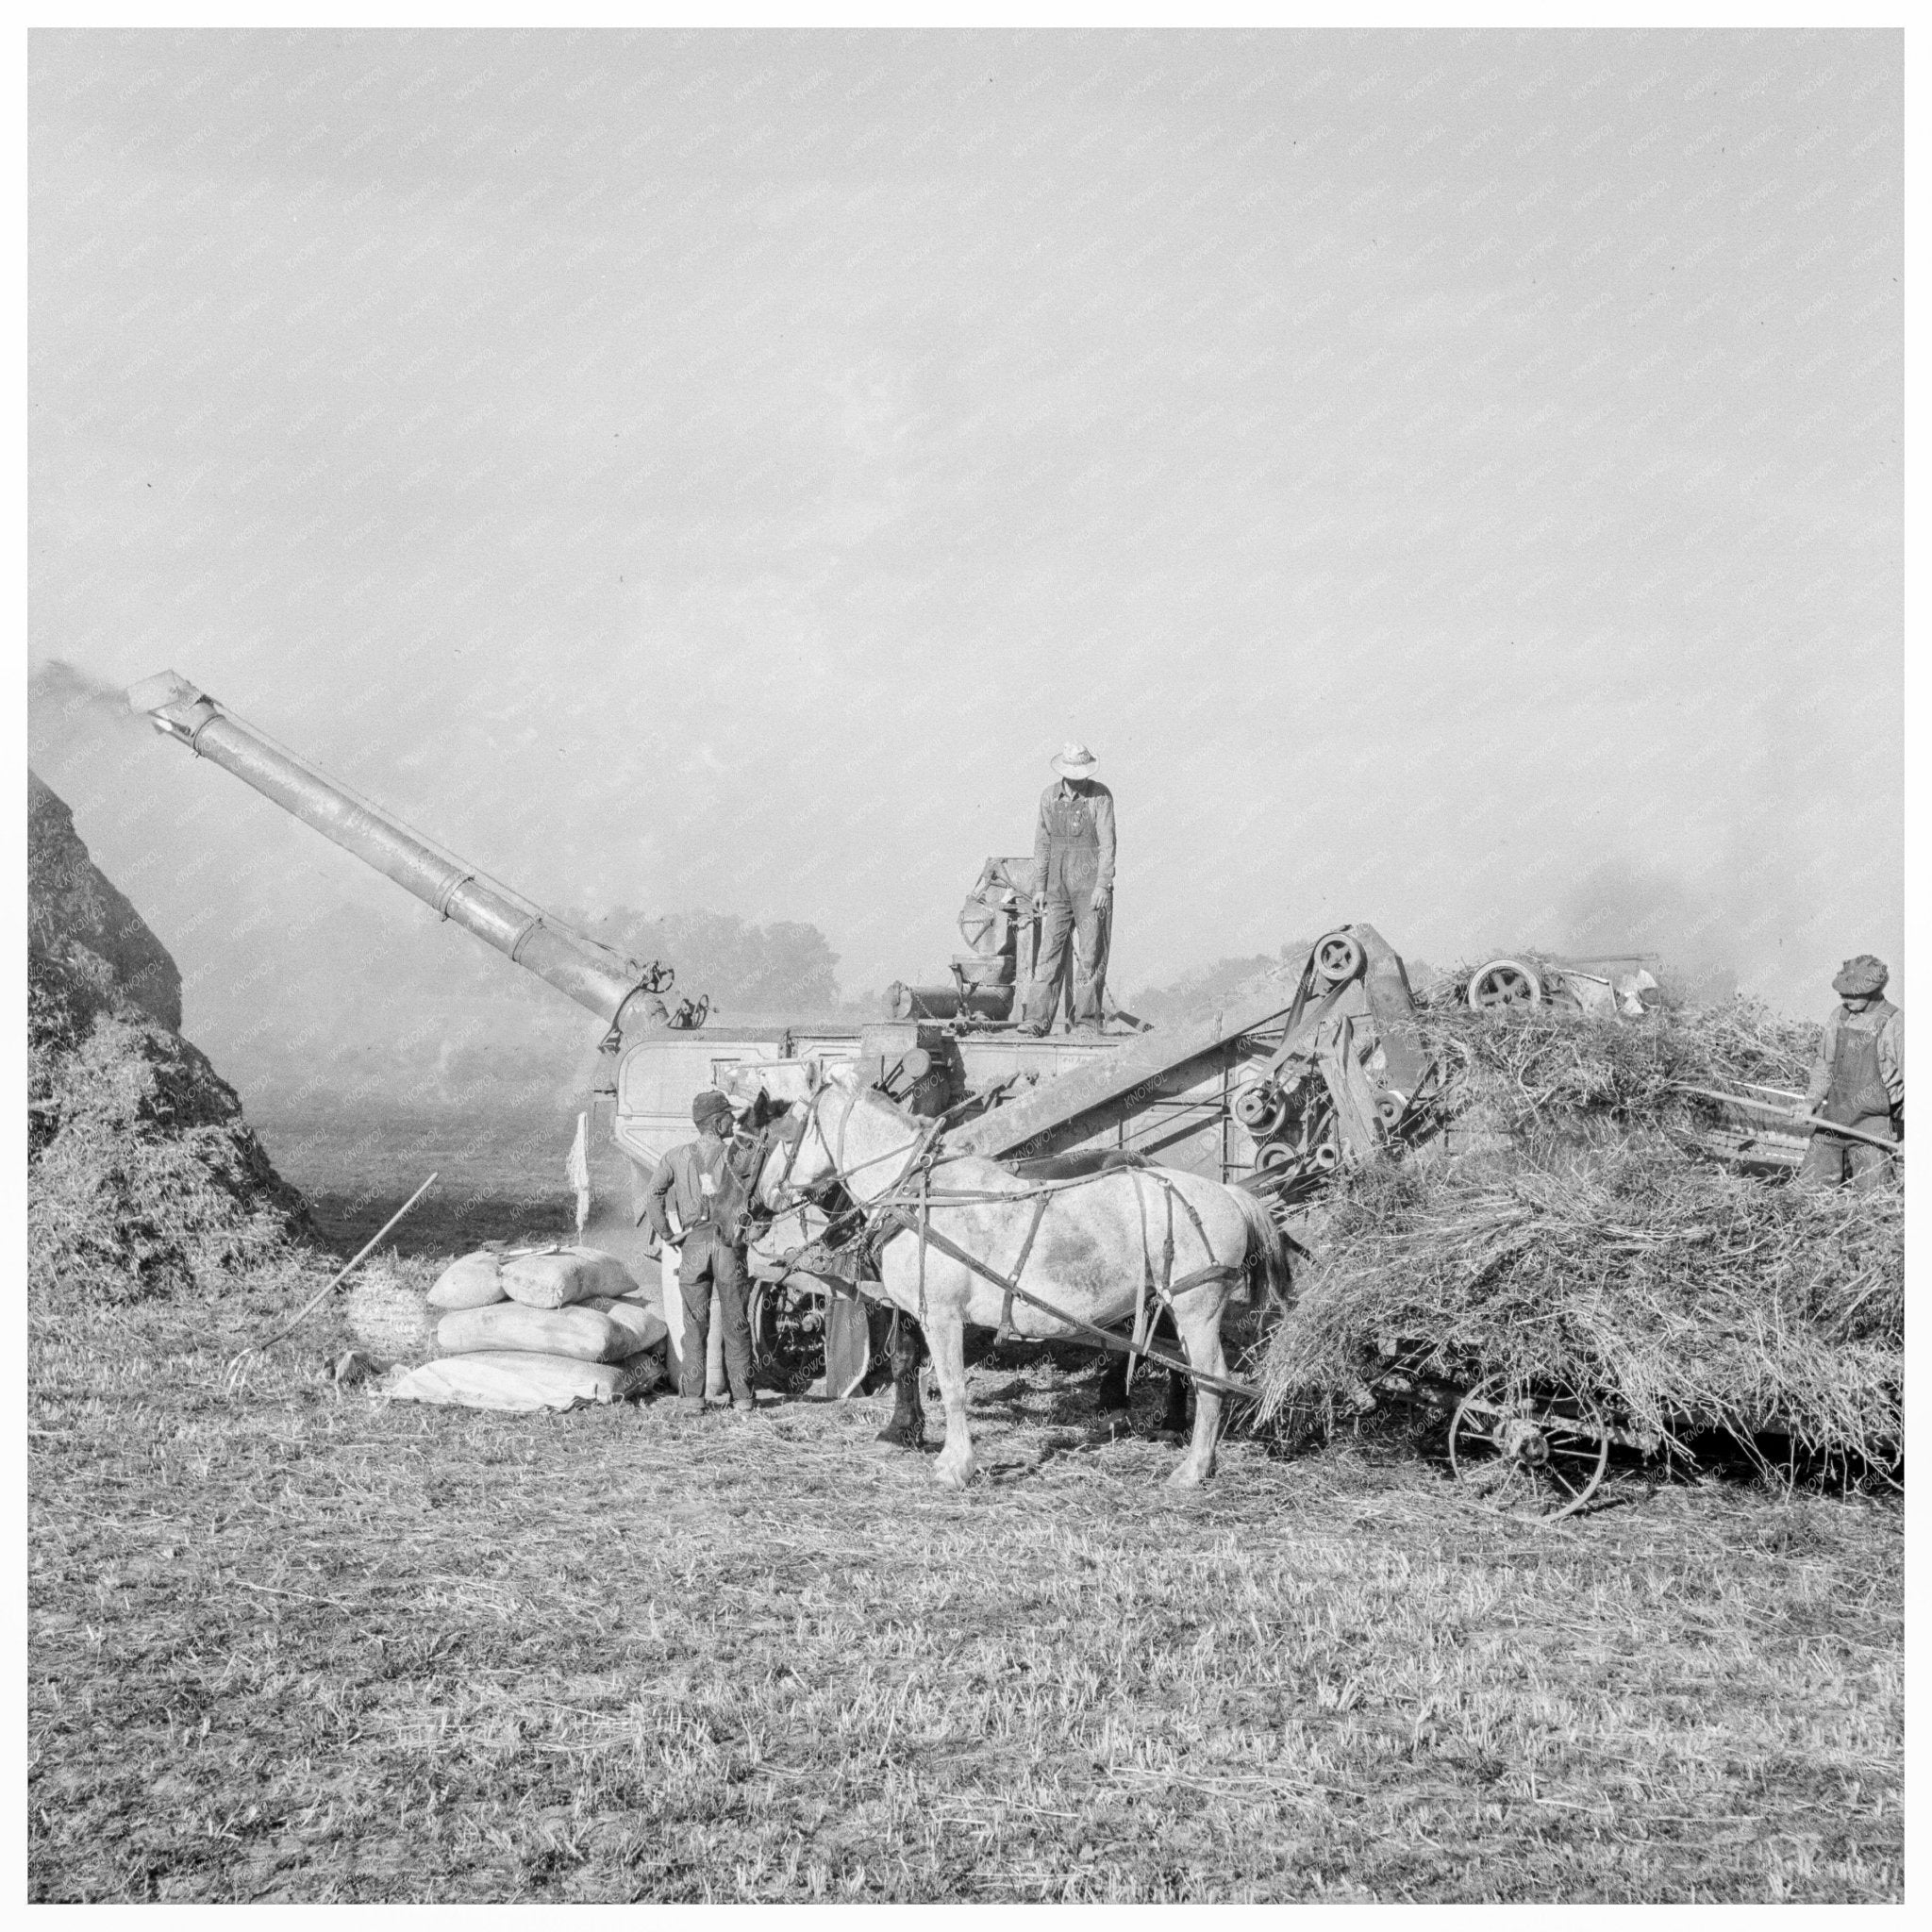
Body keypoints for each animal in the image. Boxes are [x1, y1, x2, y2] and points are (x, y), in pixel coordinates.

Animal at [760, 1066, 1291, 1483]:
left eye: (784, 1133)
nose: (764, 1195)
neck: (918, 1195)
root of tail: (1229, 1195)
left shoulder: (941, 1315)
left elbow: (951, 1388)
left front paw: (955, 1465)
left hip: (1198, 1309)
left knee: (1213, 1379)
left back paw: (1192, 1468)